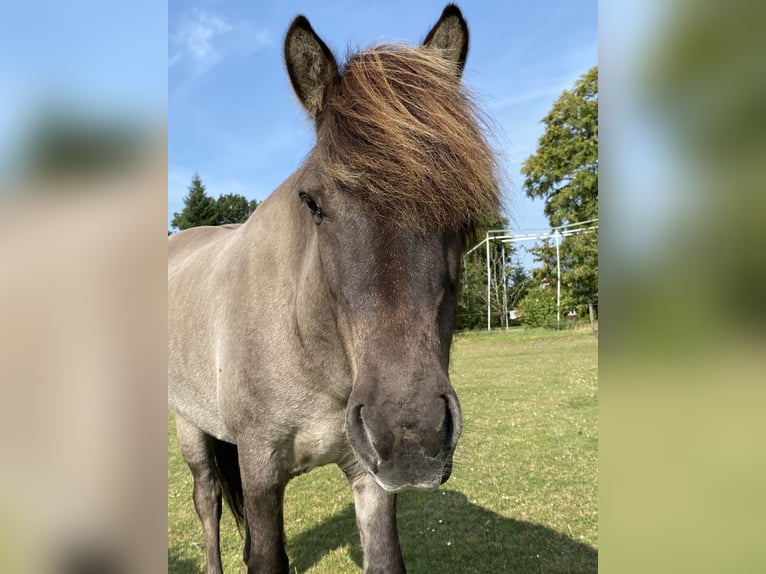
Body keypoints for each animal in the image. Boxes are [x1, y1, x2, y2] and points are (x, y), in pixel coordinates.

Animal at [168, 5, 499, 573]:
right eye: (314, 202)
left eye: (464, 208)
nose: (410, 431)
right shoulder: (259, 470)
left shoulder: (371, 477)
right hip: (189, 424)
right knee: (207, 498)